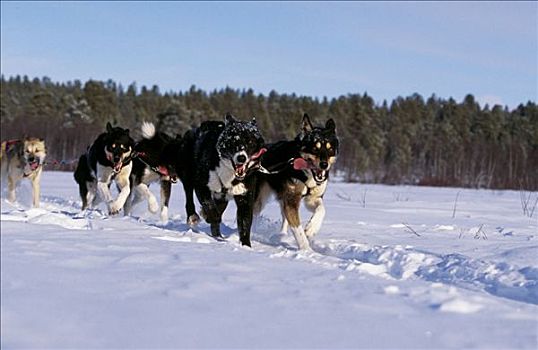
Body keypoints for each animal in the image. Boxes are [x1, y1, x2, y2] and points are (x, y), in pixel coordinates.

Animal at [184, 115, 266, 246]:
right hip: (188, 175)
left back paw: (218, 236)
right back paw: (193, 217)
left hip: (223, 198)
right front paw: (209, 216)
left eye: (250, 141)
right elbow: (210, 207)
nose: (241, 158)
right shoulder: (201, 186)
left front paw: (246, 246)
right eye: (234, 141)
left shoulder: (245, 198)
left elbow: (245, 224)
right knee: (189, 197)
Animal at [253, 113, 338, 250]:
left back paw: (281, 235)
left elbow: (321, 210)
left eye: (330, 149)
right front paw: (307, 250)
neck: (306, 174)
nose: (324, 165)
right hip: (260, 198)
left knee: (284, 218)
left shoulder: (312, 199)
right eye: (315, 148)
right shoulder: (291, 201)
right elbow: (298, 230)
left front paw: (311, 229)